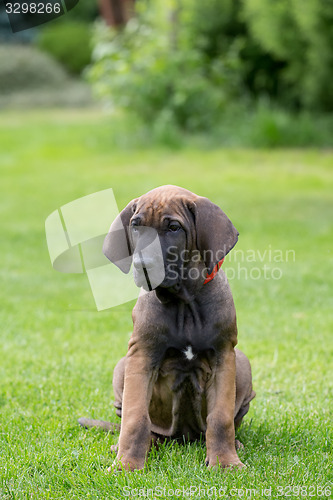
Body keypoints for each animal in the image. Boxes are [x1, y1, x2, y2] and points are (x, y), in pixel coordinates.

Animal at [82, 187, 252, 472]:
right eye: (136, 226)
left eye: (173, 228)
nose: (142, 265)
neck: (183, 300)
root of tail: (183, 437)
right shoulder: (141, 355)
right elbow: (135, 419)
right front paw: (127, 465)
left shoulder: (224, 357)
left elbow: (221, 419)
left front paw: (225, 462)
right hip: (122, 367)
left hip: (243, 363)